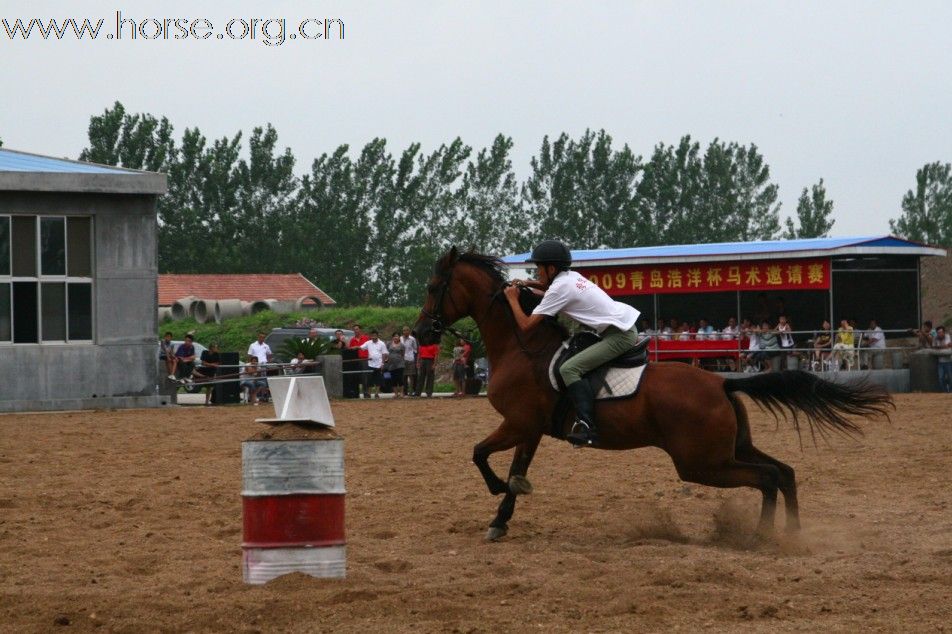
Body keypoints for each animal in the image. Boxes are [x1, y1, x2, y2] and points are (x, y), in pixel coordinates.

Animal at [414, 247, 892, 540]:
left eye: (434, 288)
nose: (420, 333)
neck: (521, 345)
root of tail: (722, 381)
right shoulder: (529, 429)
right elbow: (514, 472)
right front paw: (500, 519)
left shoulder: (517, 423)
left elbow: (480, 455)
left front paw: (497, 496)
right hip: (728, 449)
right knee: (784, 472)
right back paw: (790, 534)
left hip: (700, 462)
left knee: (768, 478)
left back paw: (762, 537)